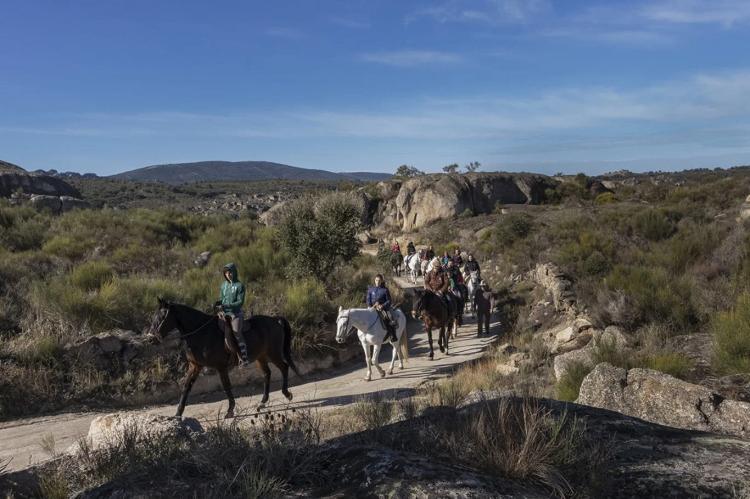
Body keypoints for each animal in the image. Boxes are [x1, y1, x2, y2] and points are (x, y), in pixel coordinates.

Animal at [148, 298, 302, 420]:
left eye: (162, 316)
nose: (150, 339)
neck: (202, 332)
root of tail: (276, 320)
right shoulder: (195, 366)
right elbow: (186, 387)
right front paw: (177, 414)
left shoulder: (220, 366)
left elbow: (226, 386)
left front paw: (230, 411)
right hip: (261, 356)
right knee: (267, 373)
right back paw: (262, 403)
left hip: (273, 353)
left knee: (284, 367)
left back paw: (287, 394)